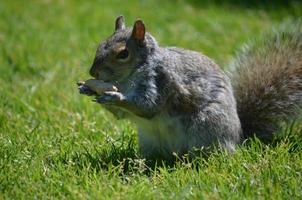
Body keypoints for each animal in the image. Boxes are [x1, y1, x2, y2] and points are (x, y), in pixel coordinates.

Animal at [78, 16, 302, 162]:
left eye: (123, 54)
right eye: (100, 44)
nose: (93, 72)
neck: (128, 78)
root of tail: (238, 137)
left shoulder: (161, 81)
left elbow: (148, 106)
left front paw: (115, 96)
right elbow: (120, 115)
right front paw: (87, 89)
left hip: (207, 127)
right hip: (150, 140)